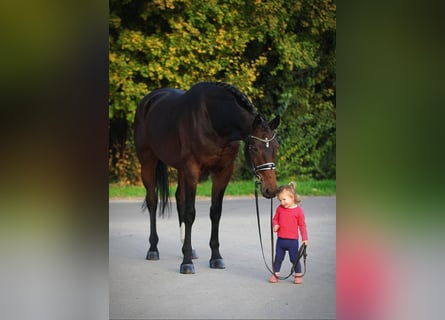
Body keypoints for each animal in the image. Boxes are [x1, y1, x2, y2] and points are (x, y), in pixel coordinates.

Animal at [133, 81, 278, 274]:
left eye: (276, 146)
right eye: (254, 148)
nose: (271, 189)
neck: (213, 120)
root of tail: (148, 101)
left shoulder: (223, 172)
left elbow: (215, 212)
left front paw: (215, 257)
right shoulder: (192, 170)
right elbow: (190, 213)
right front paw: (186, 262)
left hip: (180, 169)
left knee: (179, 198)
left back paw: (188, 248)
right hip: (148, 162)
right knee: (152, 201)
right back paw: (153, 249)